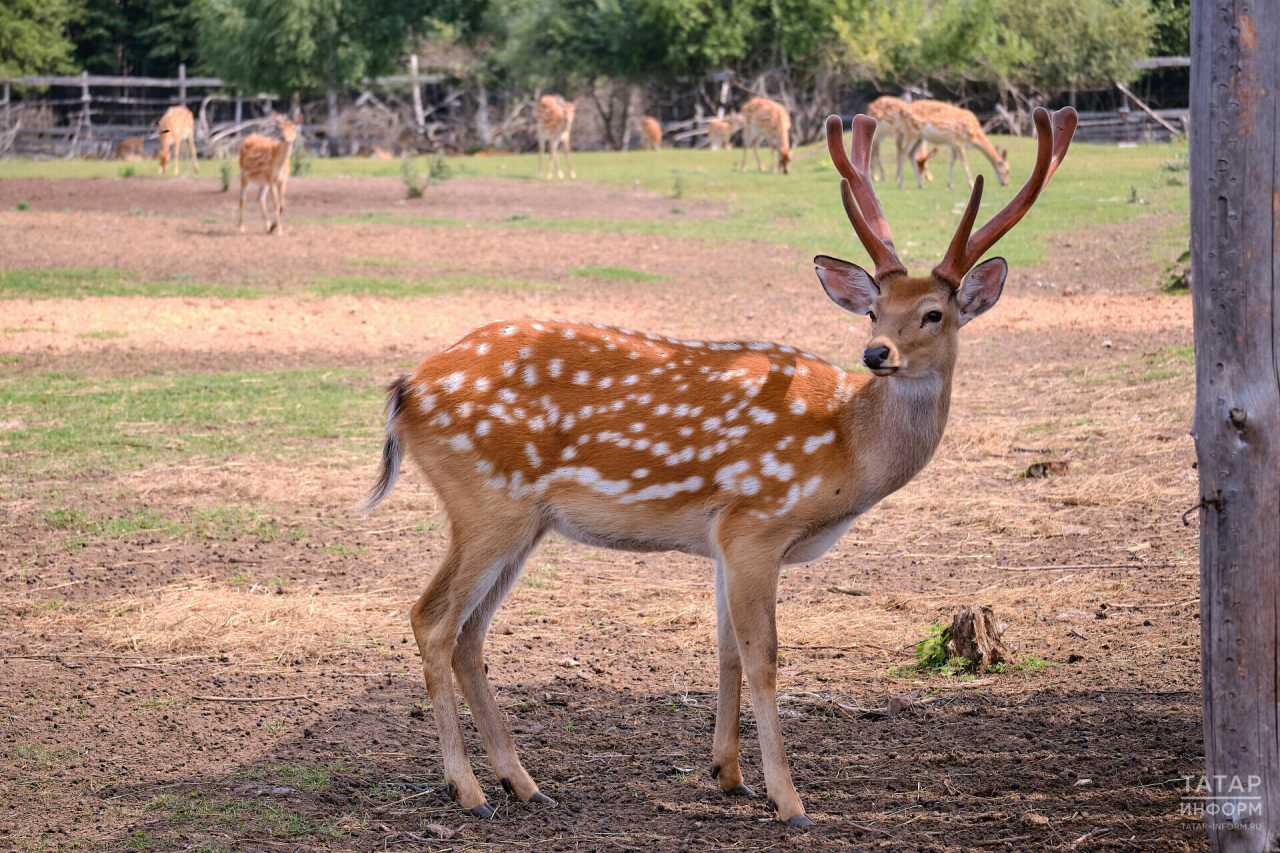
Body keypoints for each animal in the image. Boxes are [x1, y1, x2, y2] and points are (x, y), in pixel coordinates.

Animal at [363, 104, 1080, 824]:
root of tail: (405, 389)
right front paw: (790, 799)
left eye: (933, 313)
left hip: (523, 521)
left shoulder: (723, 538)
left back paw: (525, 782)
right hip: (487, 502)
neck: (847, 449)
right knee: (432, 619)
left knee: (470, 633)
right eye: (875, 309)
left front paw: (728, 774)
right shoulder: (757, 521)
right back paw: (470, 789)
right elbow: (765, 658)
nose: (877, 353)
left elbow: (726, 650)